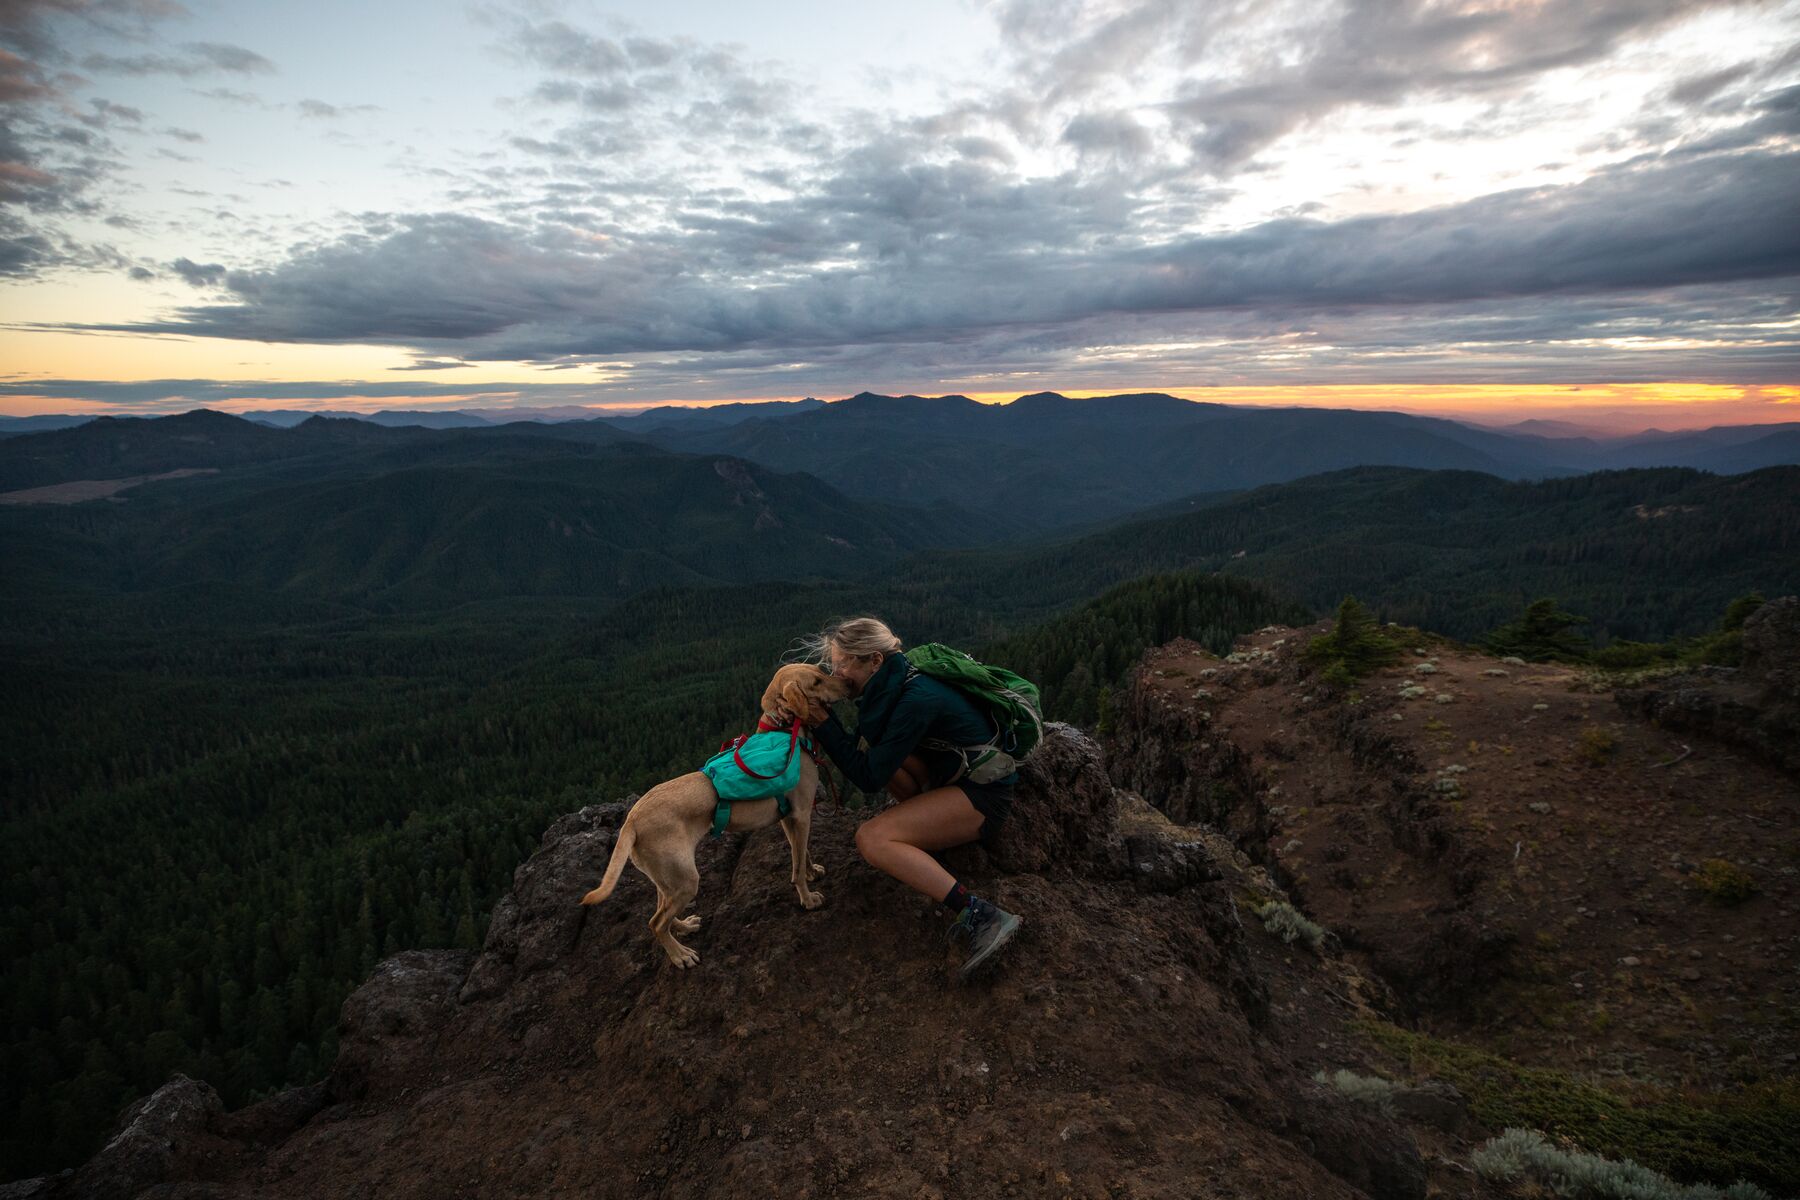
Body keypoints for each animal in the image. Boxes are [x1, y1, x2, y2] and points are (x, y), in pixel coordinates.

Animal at [579, 662, 853, 971]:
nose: (848, 684)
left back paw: (684, 927)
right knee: (655, 923)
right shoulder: (802, 813)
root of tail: (631, 820)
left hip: (668, 877)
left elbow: (801, 851)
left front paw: (811, 871)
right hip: (686, 879)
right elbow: (796, 865)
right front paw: (807, 898)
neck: (786, 731)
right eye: (817, 682)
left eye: (821, 671)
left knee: (660, 911)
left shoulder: (790, 817)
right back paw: (680, 955)